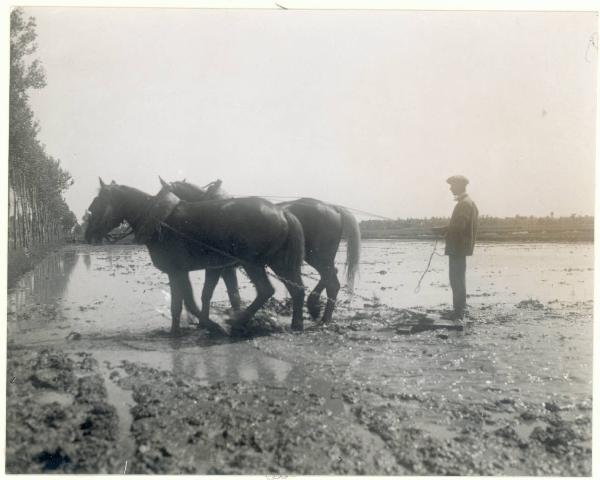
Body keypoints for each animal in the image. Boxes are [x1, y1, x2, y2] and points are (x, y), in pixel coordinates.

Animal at [84, 178, 304, 336]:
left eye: (96, 205)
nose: (87, 235)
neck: (160, 220)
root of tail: (282, 212)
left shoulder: (177, 270)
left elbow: (186, 302)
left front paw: (207, 326)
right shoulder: (191, 270)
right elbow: (186, 301)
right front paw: (181, 329)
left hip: (253, 263)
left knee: (266, 290)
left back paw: (237, 320)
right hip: (280, 263)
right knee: (297, 289)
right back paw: (296, 323)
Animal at [159, 176, 360, 322]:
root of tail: (334, 208)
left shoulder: (225, 267)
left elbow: (230, 294)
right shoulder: (227, 267)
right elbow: (233, 294)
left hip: (317, 257)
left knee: (332, 282)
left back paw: (321, 314)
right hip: (317, 258)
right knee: (330, 278)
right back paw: (316, 309)